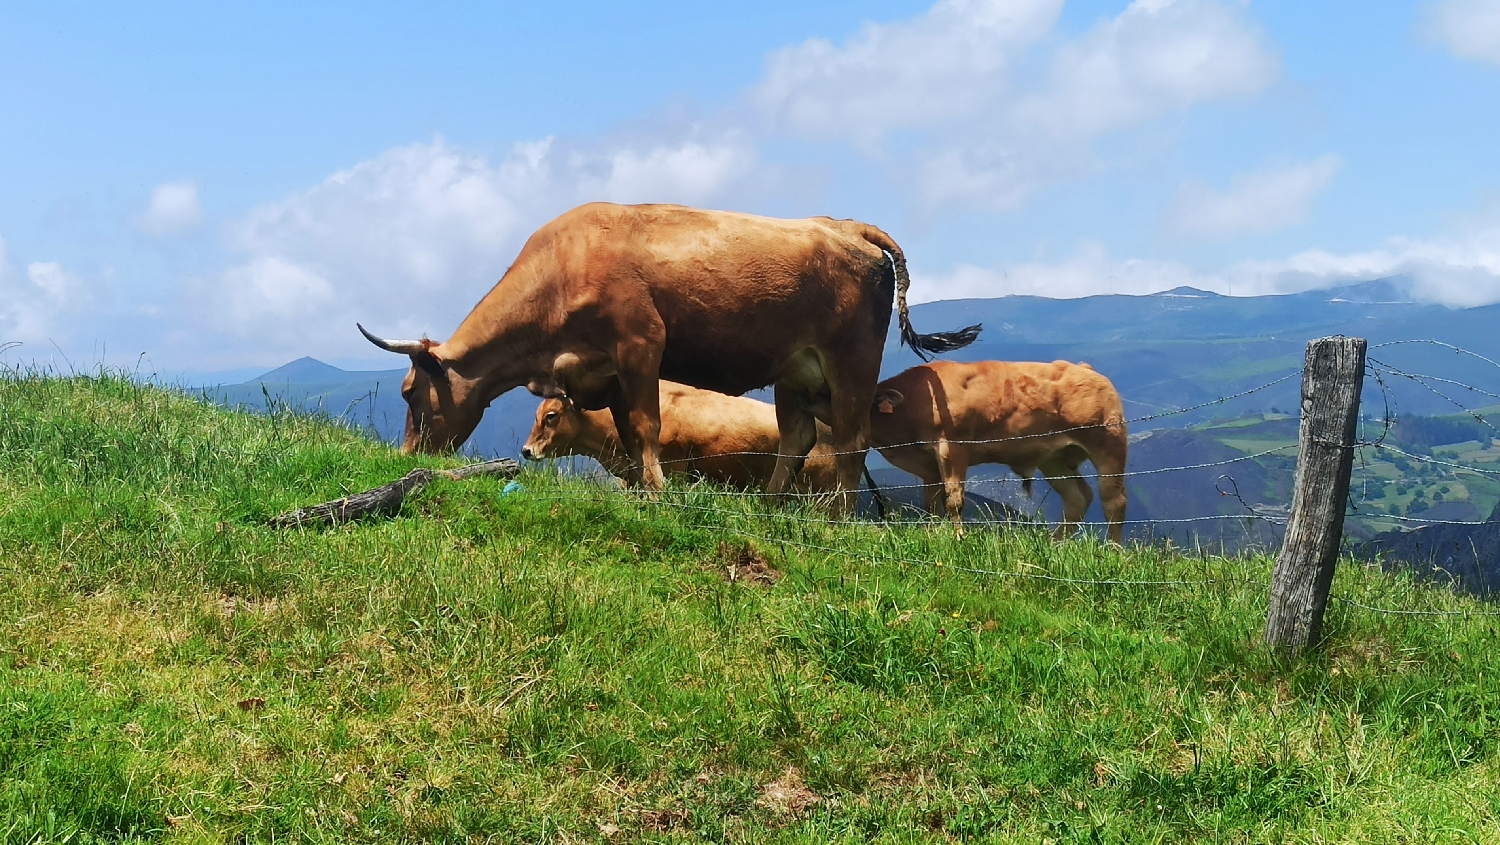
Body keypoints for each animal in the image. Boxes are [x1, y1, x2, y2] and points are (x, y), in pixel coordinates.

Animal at [870, 358, 1128, 543]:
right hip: (1054, 459)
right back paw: (1054, 546)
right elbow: (931, 503)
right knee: (1077, 498)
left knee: (1114, 501)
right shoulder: (928, 464)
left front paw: (959, 537)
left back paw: (1113, 552)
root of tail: (1086, 369)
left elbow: (953, 499)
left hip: (1108, 444)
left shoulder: (953, 446)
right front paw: (932, 534)